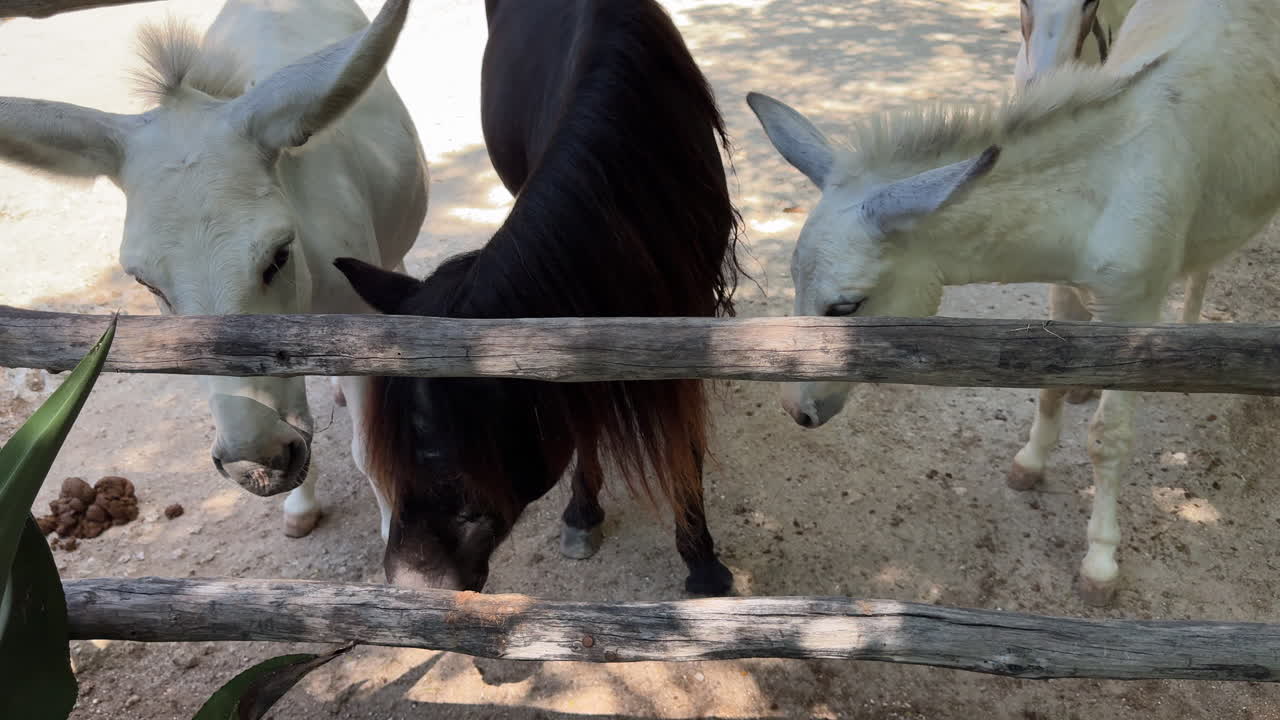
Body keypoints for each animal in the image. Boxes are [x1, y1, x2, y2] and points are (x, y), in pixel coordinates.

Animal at [0, 0, 427, 539]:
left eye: (279, 254)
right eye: (146, 282)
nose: (255, 465)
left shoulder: (359, 328)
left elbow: (369, 450)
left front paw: (396, 532)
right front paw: (300, 505)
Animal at [334, 0, 742, 595]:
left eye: (454, 462)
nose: (414, 588)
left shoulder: (688, 318)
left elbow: (683, 442)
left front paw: (702, 562)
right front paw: (583, 512)